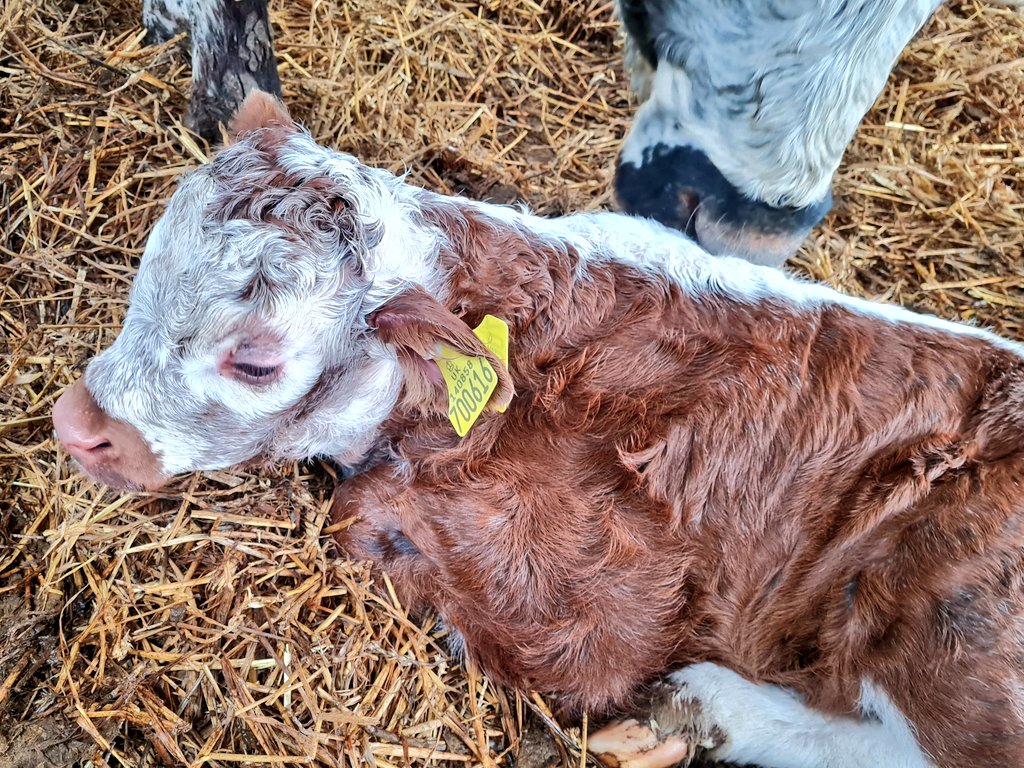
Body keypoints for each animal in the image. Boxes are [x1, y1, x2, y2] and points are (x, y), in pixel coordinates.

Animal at [53, 93, 1024, 767]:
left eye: (256, 361)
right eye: (147, 271)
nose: (75, 423)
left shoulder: (607, 611)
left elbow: (365, 522)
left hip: (950, 625)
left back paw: (702, 705)